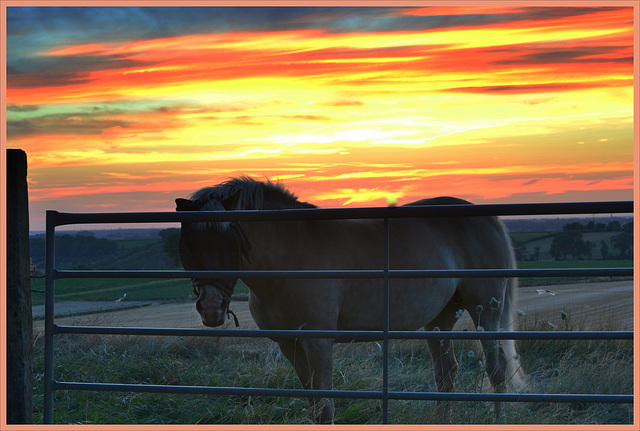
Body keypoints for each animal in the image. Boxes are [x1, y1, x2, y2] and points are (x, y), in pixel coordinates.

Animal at [174, 176, 524, 426]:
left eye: (230, 241)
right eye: (188, 244)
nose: (211, 308)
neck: (291, 255)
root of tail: (487, 218)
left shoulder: (319, 341)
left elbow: (324, 406)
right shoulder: (290, 344)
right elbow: (313, 403)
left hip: (485, 311)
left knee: (496, 368)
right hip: (440, 319)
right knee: (446, 374)